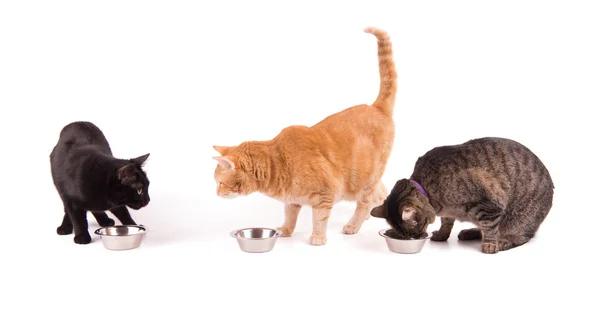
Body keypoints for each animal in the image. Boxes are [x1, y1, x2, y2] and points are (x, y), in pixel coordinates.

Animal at [212, 28, 398, 245]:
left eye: (220, 183)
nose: (216, 193)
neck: (277, 161)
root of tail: (376, 107)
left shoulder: (325, 195)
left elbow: (319, 219)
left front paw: (317, 237)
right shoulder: (291, 200)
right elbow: (290, 216)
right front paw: (286, 230)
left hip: (366, 179)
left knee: (365, 201)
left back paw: (354, 224)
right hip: (366, 179)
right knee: (380, 193)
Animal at [370, 137, 552, 253]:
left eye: (414, 230)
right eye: (404, 235)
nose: (415, 237)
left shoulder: (489, 205)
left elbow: (490, 227)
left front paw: (490, 244)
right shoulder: (447, 213)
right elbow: (446, 223)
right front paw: (442, 233)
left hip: (520, 220)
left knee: (521, 236)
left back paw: (503, 241)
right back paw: (471, 232)